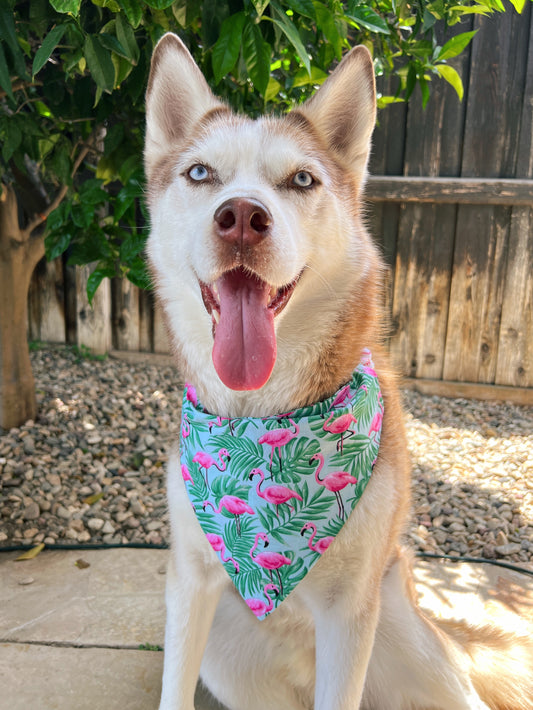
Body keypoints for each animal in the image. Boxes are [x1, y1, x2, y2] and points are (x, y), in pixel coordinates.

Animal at [143, 32, 528, 710]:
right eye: (200, 173)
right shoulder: (190, 584)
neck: (263, 412)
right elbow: (173, 691)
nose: (241, 216)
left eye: (301, 179)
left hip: (409, 642)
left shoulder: (349, 615)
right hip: (228, 655)